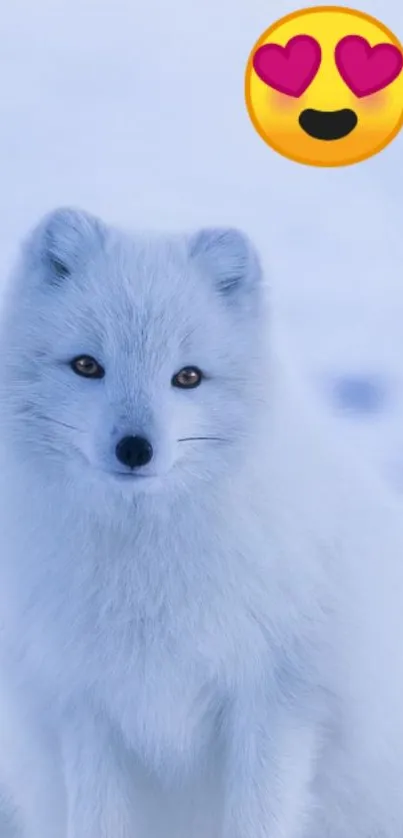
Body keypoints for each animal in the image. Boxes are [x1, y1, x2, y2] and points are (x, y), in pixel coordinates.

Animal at [0, 205, 403, 838]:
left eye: (187, 377)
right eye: (87, 365)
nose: (135, 448)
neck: (145, 569)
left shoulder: (277, 702)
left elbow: (258, 819)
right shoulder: (85, 705)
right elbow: (96, 818)